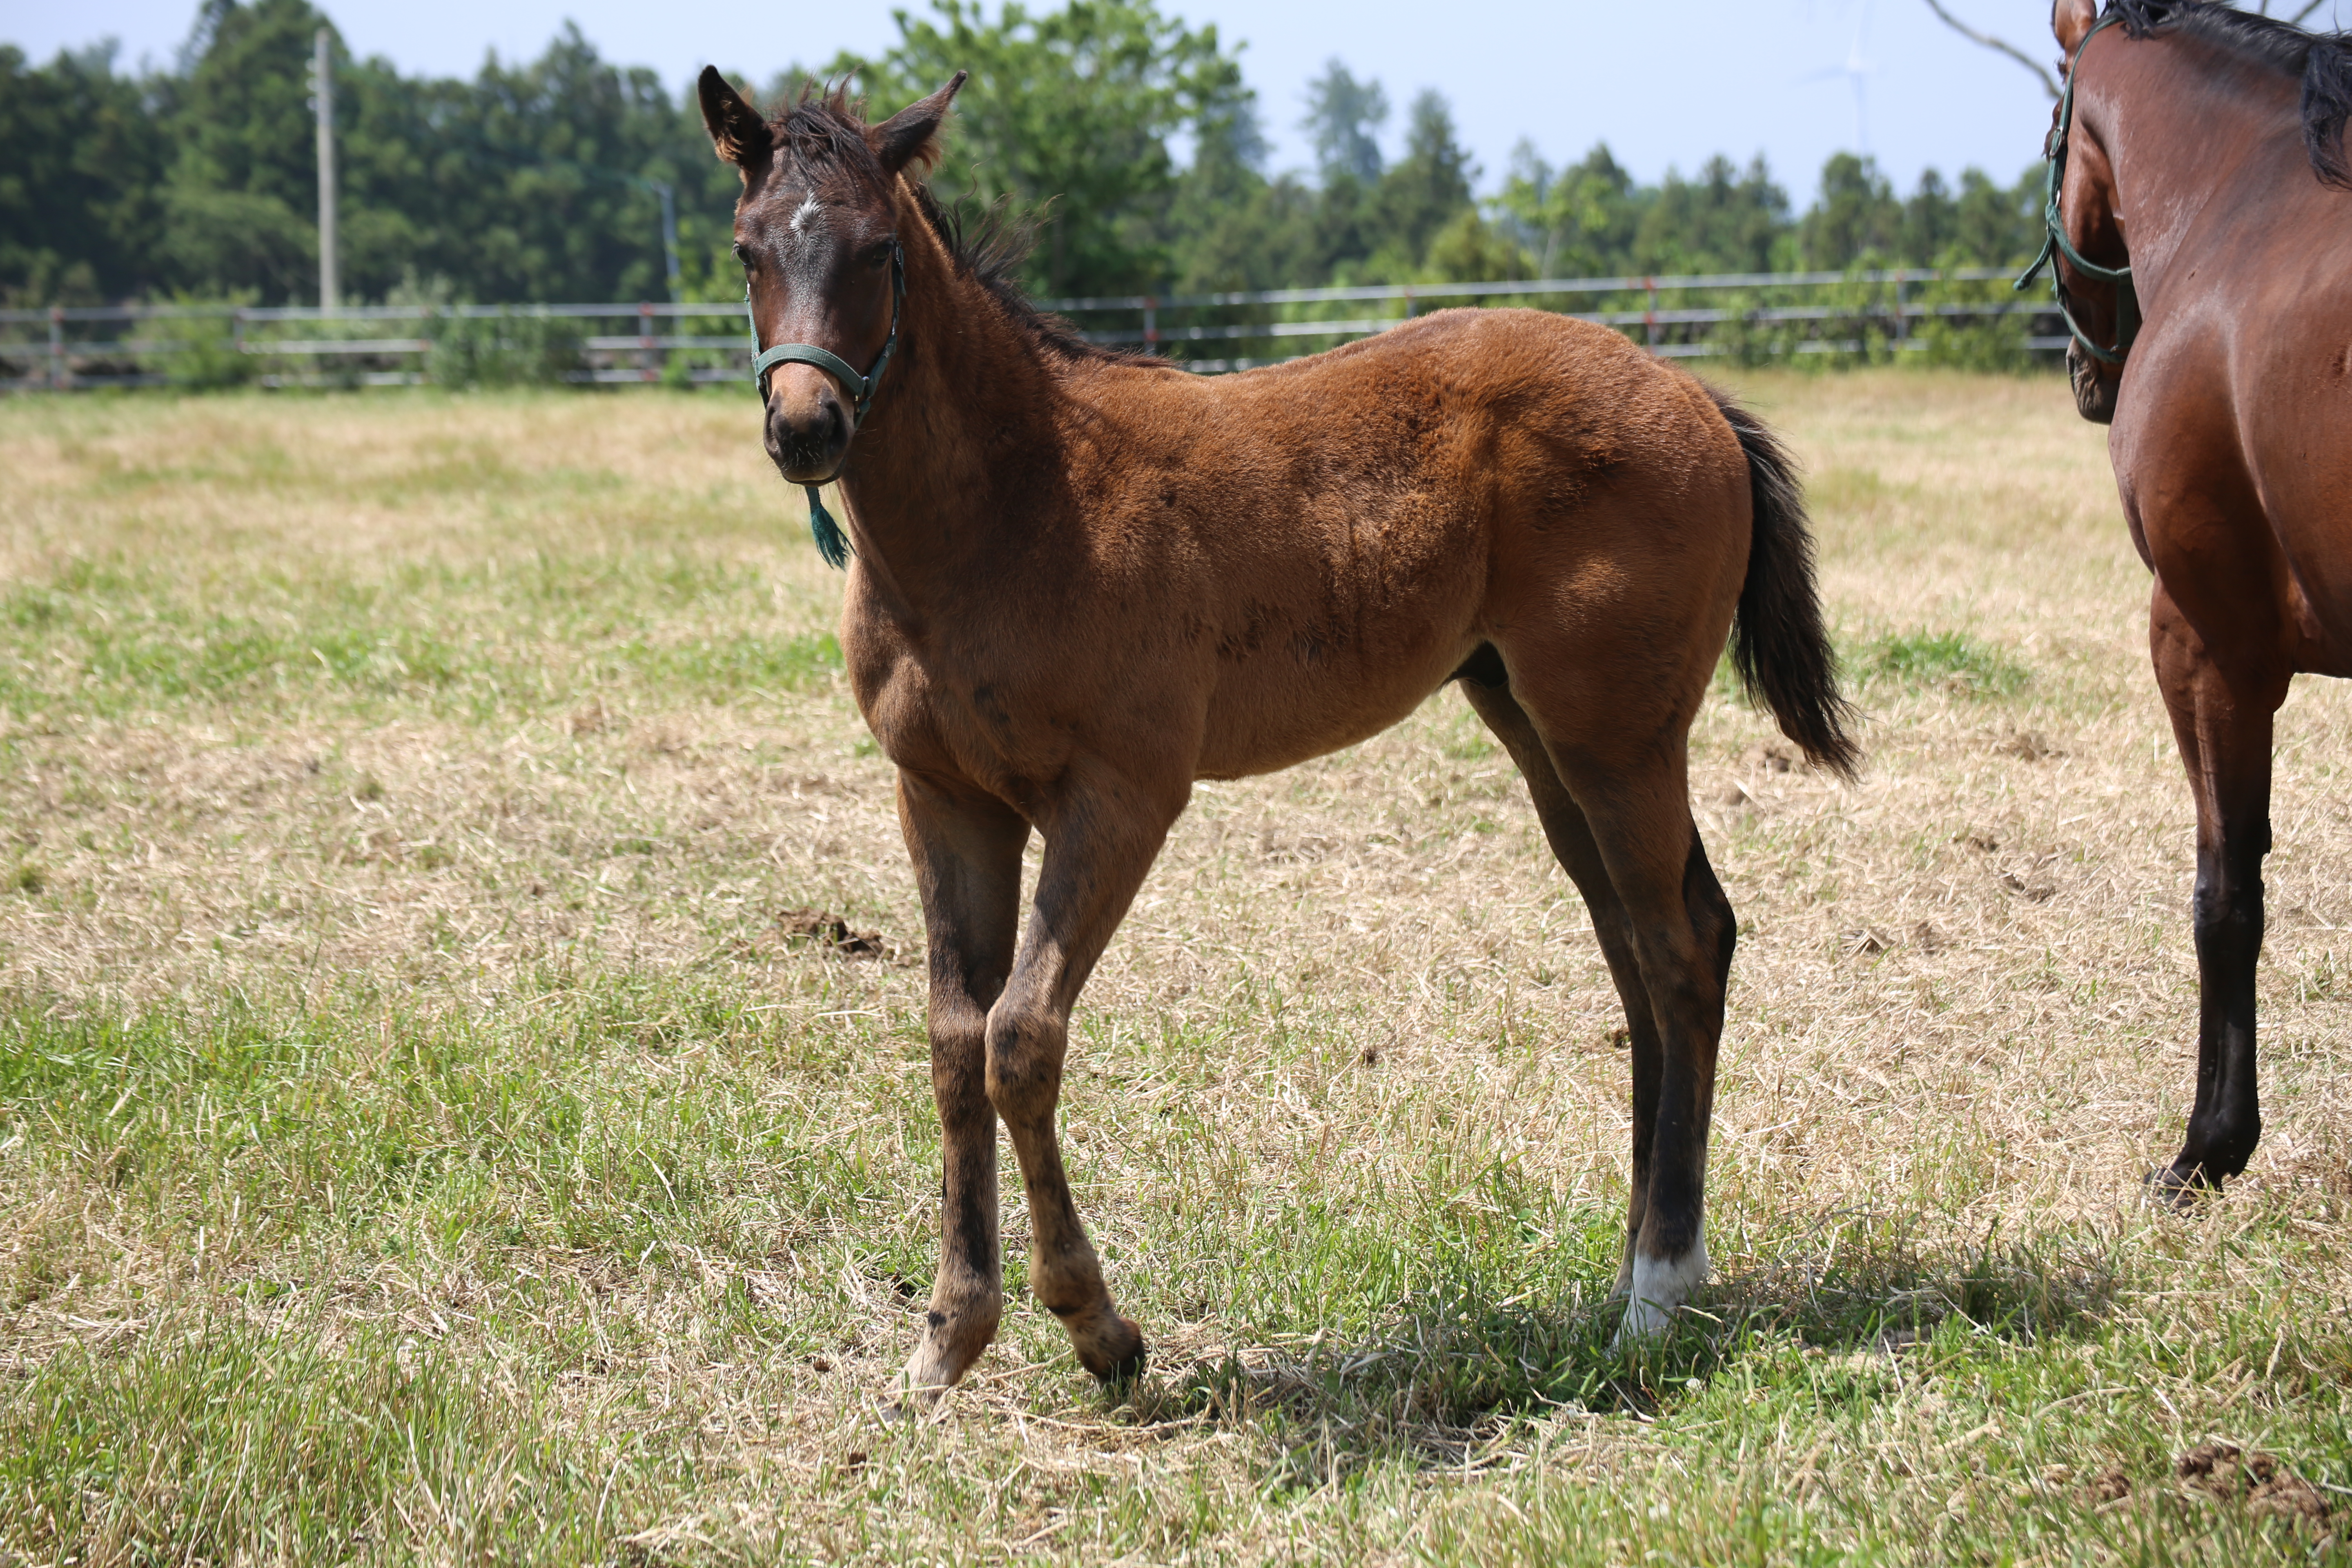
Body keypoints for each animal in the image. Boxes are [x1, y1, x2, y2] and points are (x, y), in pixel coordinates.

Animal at [691, 70, 1853, 1401]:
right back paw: (1634, 1264)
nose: (807, 427)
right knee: (1637, 946)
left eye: (880, 249)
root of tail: (1691, 392)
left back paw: (1658, 1291)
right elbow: (953, 1041)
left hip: (1619, 732)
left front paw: (1098, 1327)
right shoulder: (942, 795)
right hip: (1537, 728)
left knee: (1679, 944)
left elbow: (1021, 1037)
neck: (1017, 505)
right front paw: (948, 1334)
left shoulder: (1122, 795)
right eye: (746, 249)